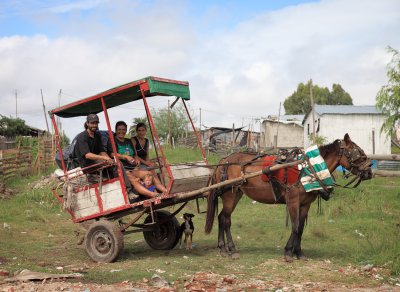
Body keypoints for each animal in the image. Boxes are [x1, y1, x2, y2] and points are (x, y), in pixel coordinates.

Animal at [205, 133, 374, 262]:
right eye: (358, 152)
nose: (369, 172)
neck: (308, 168)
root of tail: (224, 161)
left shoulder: (305, 205)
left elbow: (301, 228)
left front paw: (298, 252)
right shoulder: (293, 201)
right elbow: (295, 226)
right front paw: (288, 252)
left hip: (236, 194)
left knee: (221, 217)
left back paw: (223, 248)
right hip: (230, 195)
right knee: (226, 220)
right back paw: (232, 249)